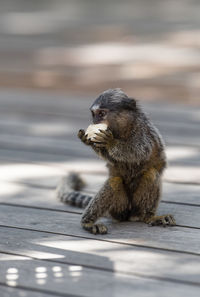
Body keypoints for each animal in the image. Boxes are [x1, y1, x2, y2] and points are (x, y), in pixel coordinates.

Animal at [56, 88, 175, 234]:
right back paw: (88, 223)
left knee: (151, 174)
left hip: (136, 206)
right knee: (114, 182)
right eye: (94, 114)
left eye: (102, 113)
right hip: (118, 208)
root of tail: (130, 214)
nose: (95, 121)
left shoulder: (142, 131)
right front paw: (89, 141)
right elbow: (113, 159)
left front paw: (110, 142)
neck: (122, 129)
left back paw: (148, 216)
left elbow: (139, 151)